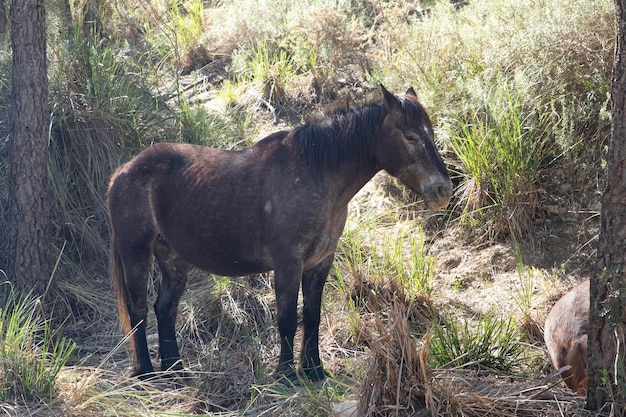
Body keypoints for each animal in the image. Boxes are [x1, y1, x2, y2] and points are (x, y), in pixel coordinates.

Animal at [106, 86, 448, 382]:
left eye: (429, 133)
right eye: (410, 135)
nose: (443, 189)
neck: (315, 174)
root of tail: (122, 171)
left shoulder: (319, 263)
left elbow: (311, 316)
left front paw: (314, 370)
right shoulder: (287, 264)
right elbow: (286, 319)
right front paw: (285, 374)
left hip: (172, 257)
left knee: (165, 309)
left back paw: (175, 370)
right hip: (136, 252)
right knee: (138, 309)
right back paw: (147, 372)